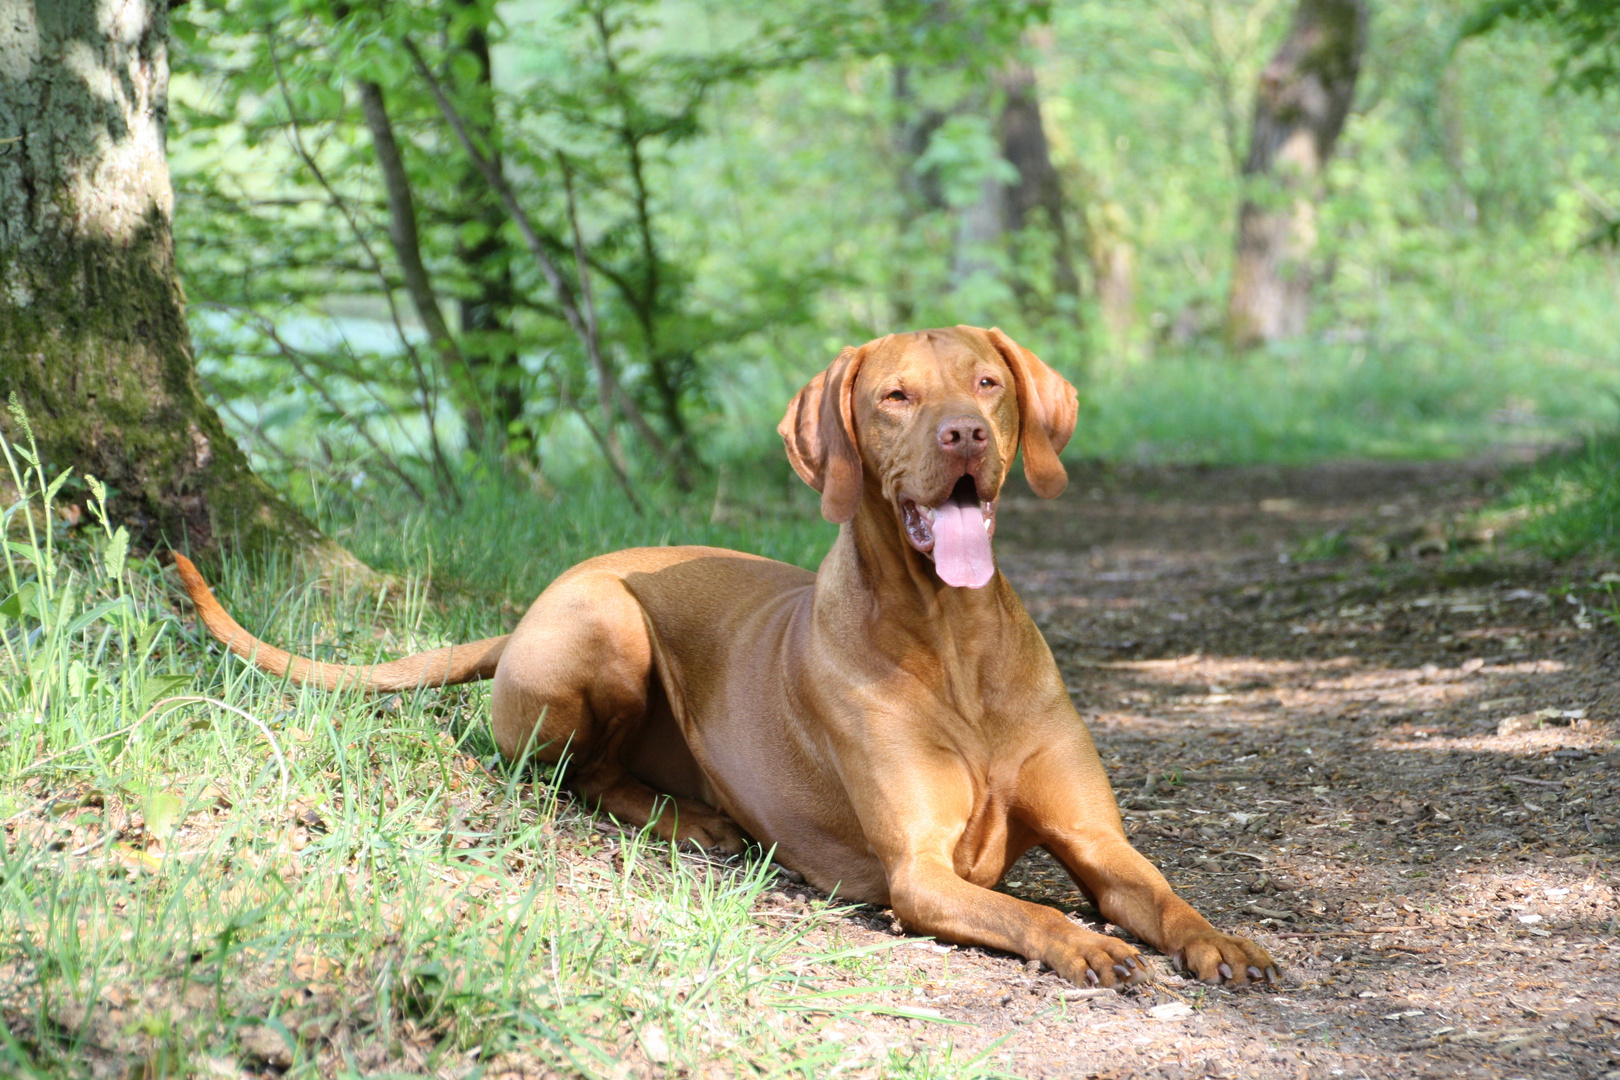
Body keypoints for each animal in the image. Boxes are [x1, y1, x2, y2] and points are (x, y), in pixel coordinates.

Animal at [174, 323, 1276, 990]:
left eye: (989, 383)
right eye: (896, 396)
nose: (965, 435)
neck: (955, 642)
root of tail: (530, 606)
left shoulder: (1097, 842)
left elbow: (1162, 894)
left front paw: (1220, 940)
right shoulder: (918, 875)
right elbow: (1032, 915)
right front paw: (1086, 944)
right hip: (607, 626)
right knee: (567, 775)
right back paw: (691, 818)